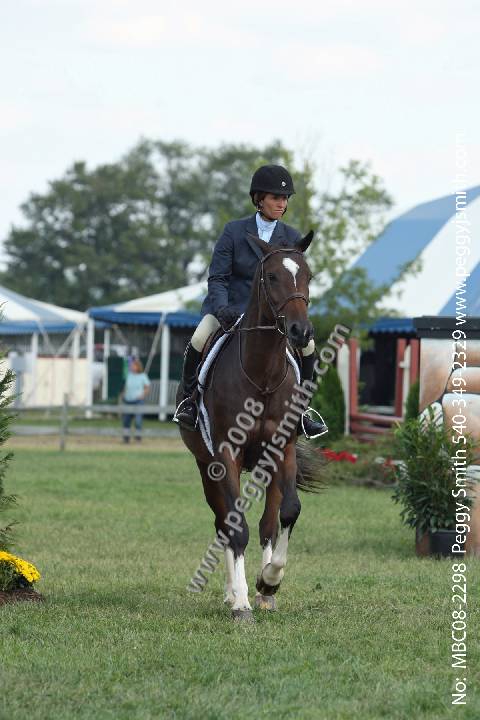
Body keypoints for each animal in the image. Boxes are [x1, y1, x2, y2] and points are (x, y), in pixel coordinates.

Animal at [177, 232, 323, 621]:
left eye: (308, 275)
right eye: (271, 277)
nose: (301, 332)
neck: (263, 375)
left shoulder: (283, 448)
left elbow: (288, 512)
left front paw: (269, 582)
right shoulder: (226, 453)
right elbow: (235, 526)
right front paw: (241, 602)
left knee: (268, 522)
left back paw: (264, 593)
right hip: (207, 466)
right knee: (224, 522)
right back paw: (234, 594)